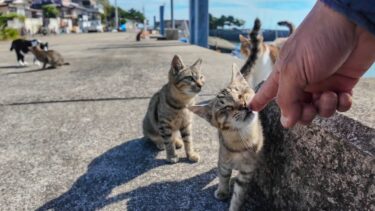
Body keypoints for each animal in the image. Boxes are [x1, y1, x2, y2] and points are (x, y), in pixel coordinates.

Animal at [189, 64, 262, 211]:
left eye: (241, 94)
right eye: (226, 108)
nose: (244, 105)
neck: (241, 142)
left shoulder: (247, 173)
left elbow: (239, 194)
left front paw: (234, 206)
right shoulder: (223, 162)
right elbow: (223, 176)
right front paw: (222, 191)